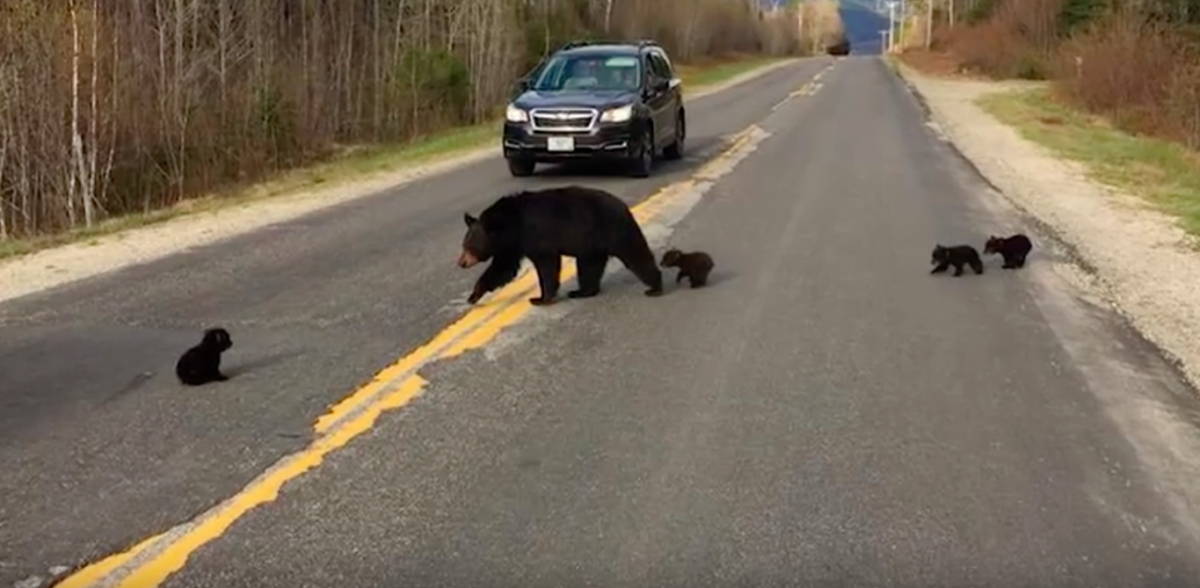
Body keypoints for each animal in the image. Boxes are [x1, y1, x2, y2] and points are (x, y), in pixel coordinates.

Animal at [456, 186, 667, 306]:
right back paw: (581, 292)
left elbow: (546, 264)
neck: (512, 223)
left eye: (468, 246)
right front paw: (474, 295)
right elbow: (503, 268)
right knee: (589, 267)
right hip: (592, 245)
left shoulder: (535, 235)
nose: (461, 263)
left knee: (635, 254)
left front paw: (540, 299)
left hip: (615, 230)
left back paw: (655, 287)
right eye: (463, 245)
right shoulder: (512, 245)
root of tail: (624, 206)